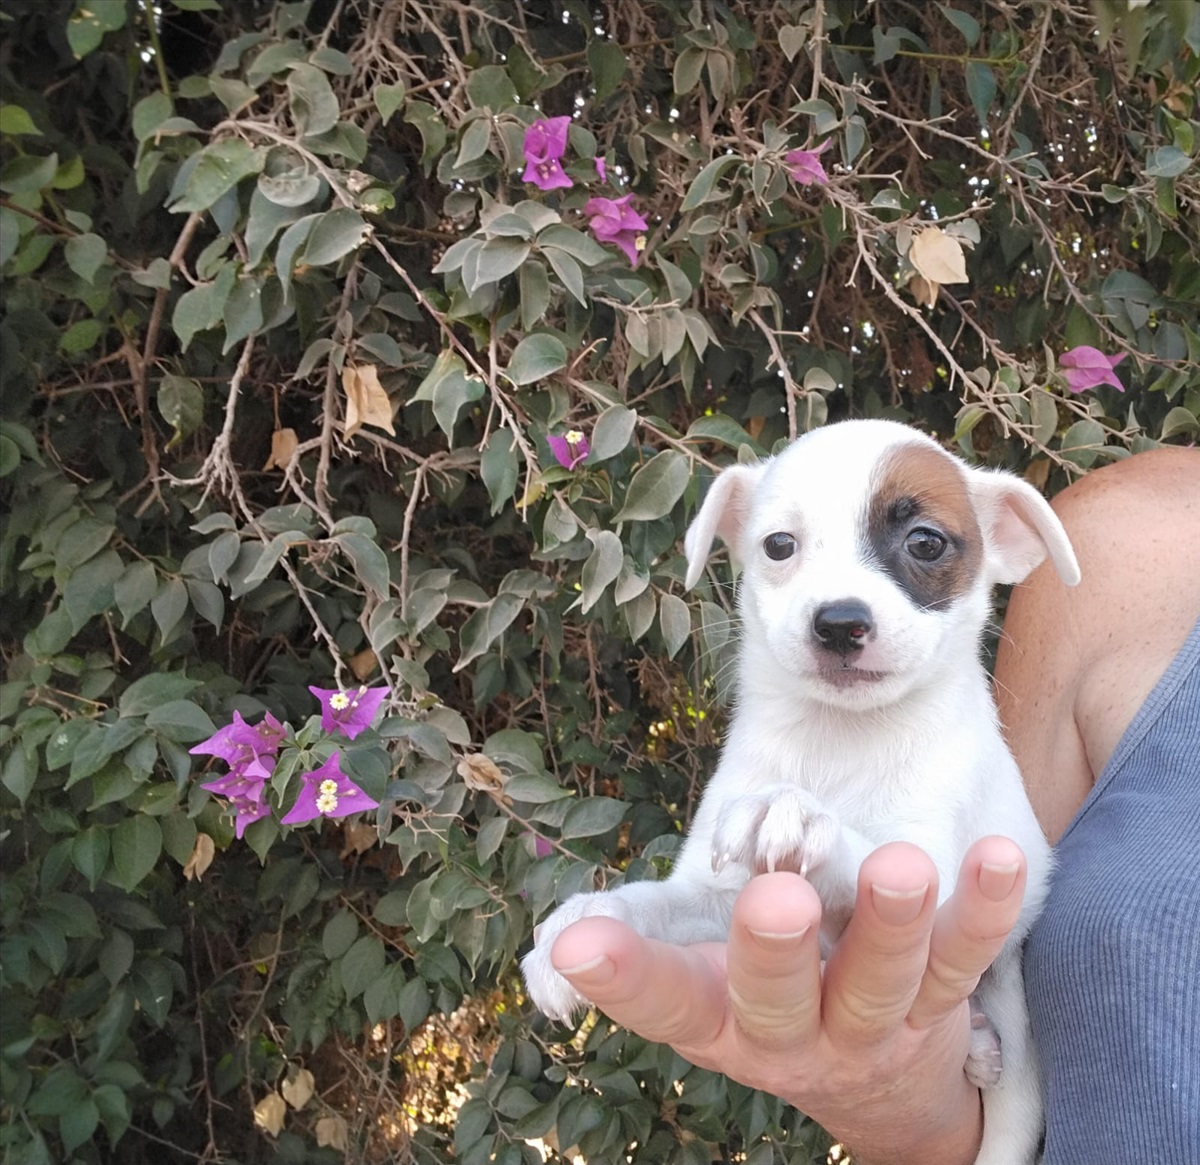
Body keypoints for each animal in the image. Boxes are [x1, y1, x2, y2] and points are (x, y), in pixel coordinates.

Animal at [520, 422, 1084, 1165]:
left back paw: (982, 1045)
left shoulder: (935, 881)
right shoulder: (711, 893)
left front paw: (793, 810)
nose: (839, 622)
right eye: (779, 545)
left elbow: (861, 849)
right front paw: (584, 916)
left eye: (926, 542)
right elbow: (655, 902)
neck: (838, 739)